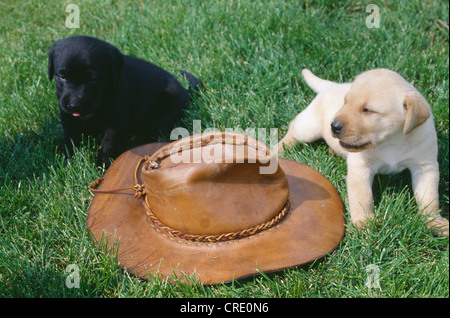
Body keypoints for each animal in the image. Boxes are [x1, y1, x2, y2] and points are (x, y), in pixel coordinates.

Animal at [47, 36, 199, 166]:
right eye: (62, 77)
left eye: (92, 79)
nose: (74, 105)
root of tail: (185, 91)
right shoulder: (66, 115)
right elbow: (70, 136)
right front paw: (68, 158)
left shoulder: (116, 121)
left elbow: (109, 143)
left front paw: (103, 164)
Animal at [278, 68, 446, 235]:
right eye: (345, 102)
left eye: (368, 110)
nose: (334, 126)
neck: (391, 142)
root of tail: (332, 86)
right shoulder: (361, 167)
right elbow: (362, 196)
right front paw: (364, 221)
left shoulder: (425, 166)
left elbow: (429, 198)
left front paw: (435, 222)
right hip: (308, 128)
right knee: (293, 130)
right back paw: (277, 149)